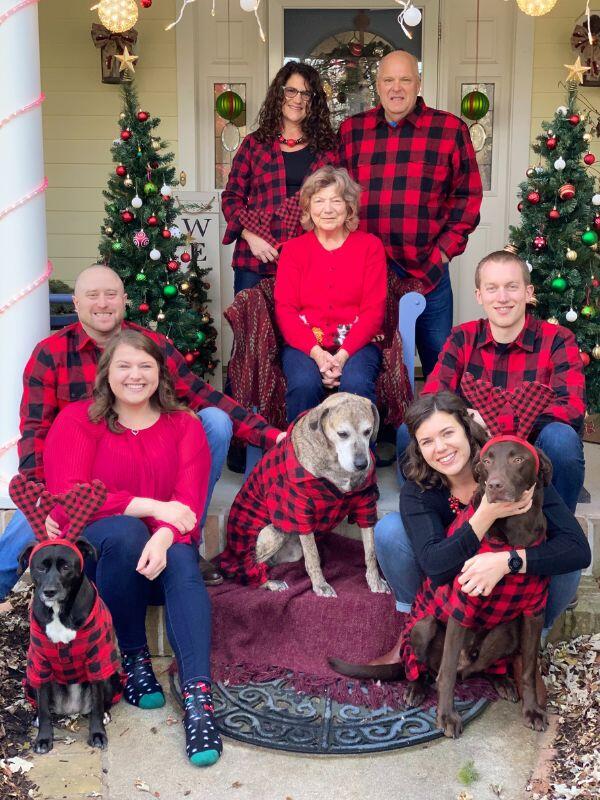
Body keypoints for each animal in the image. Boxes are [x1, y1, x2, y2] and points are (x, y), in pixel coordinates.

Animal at [20, 540, 123, 752]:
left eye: (66, 567)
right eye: (40, 567)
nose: (49, 591)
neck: (60, 611)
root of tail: (71, 709)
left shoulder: (96, 662)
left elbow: (97, 704)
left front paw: (97, 734)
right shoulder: (40, 664)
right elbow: (43, 708)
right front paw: (43, 738)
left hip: (111, 677)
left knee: (102, 702)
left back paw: (105, 714)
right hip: (30, 679)